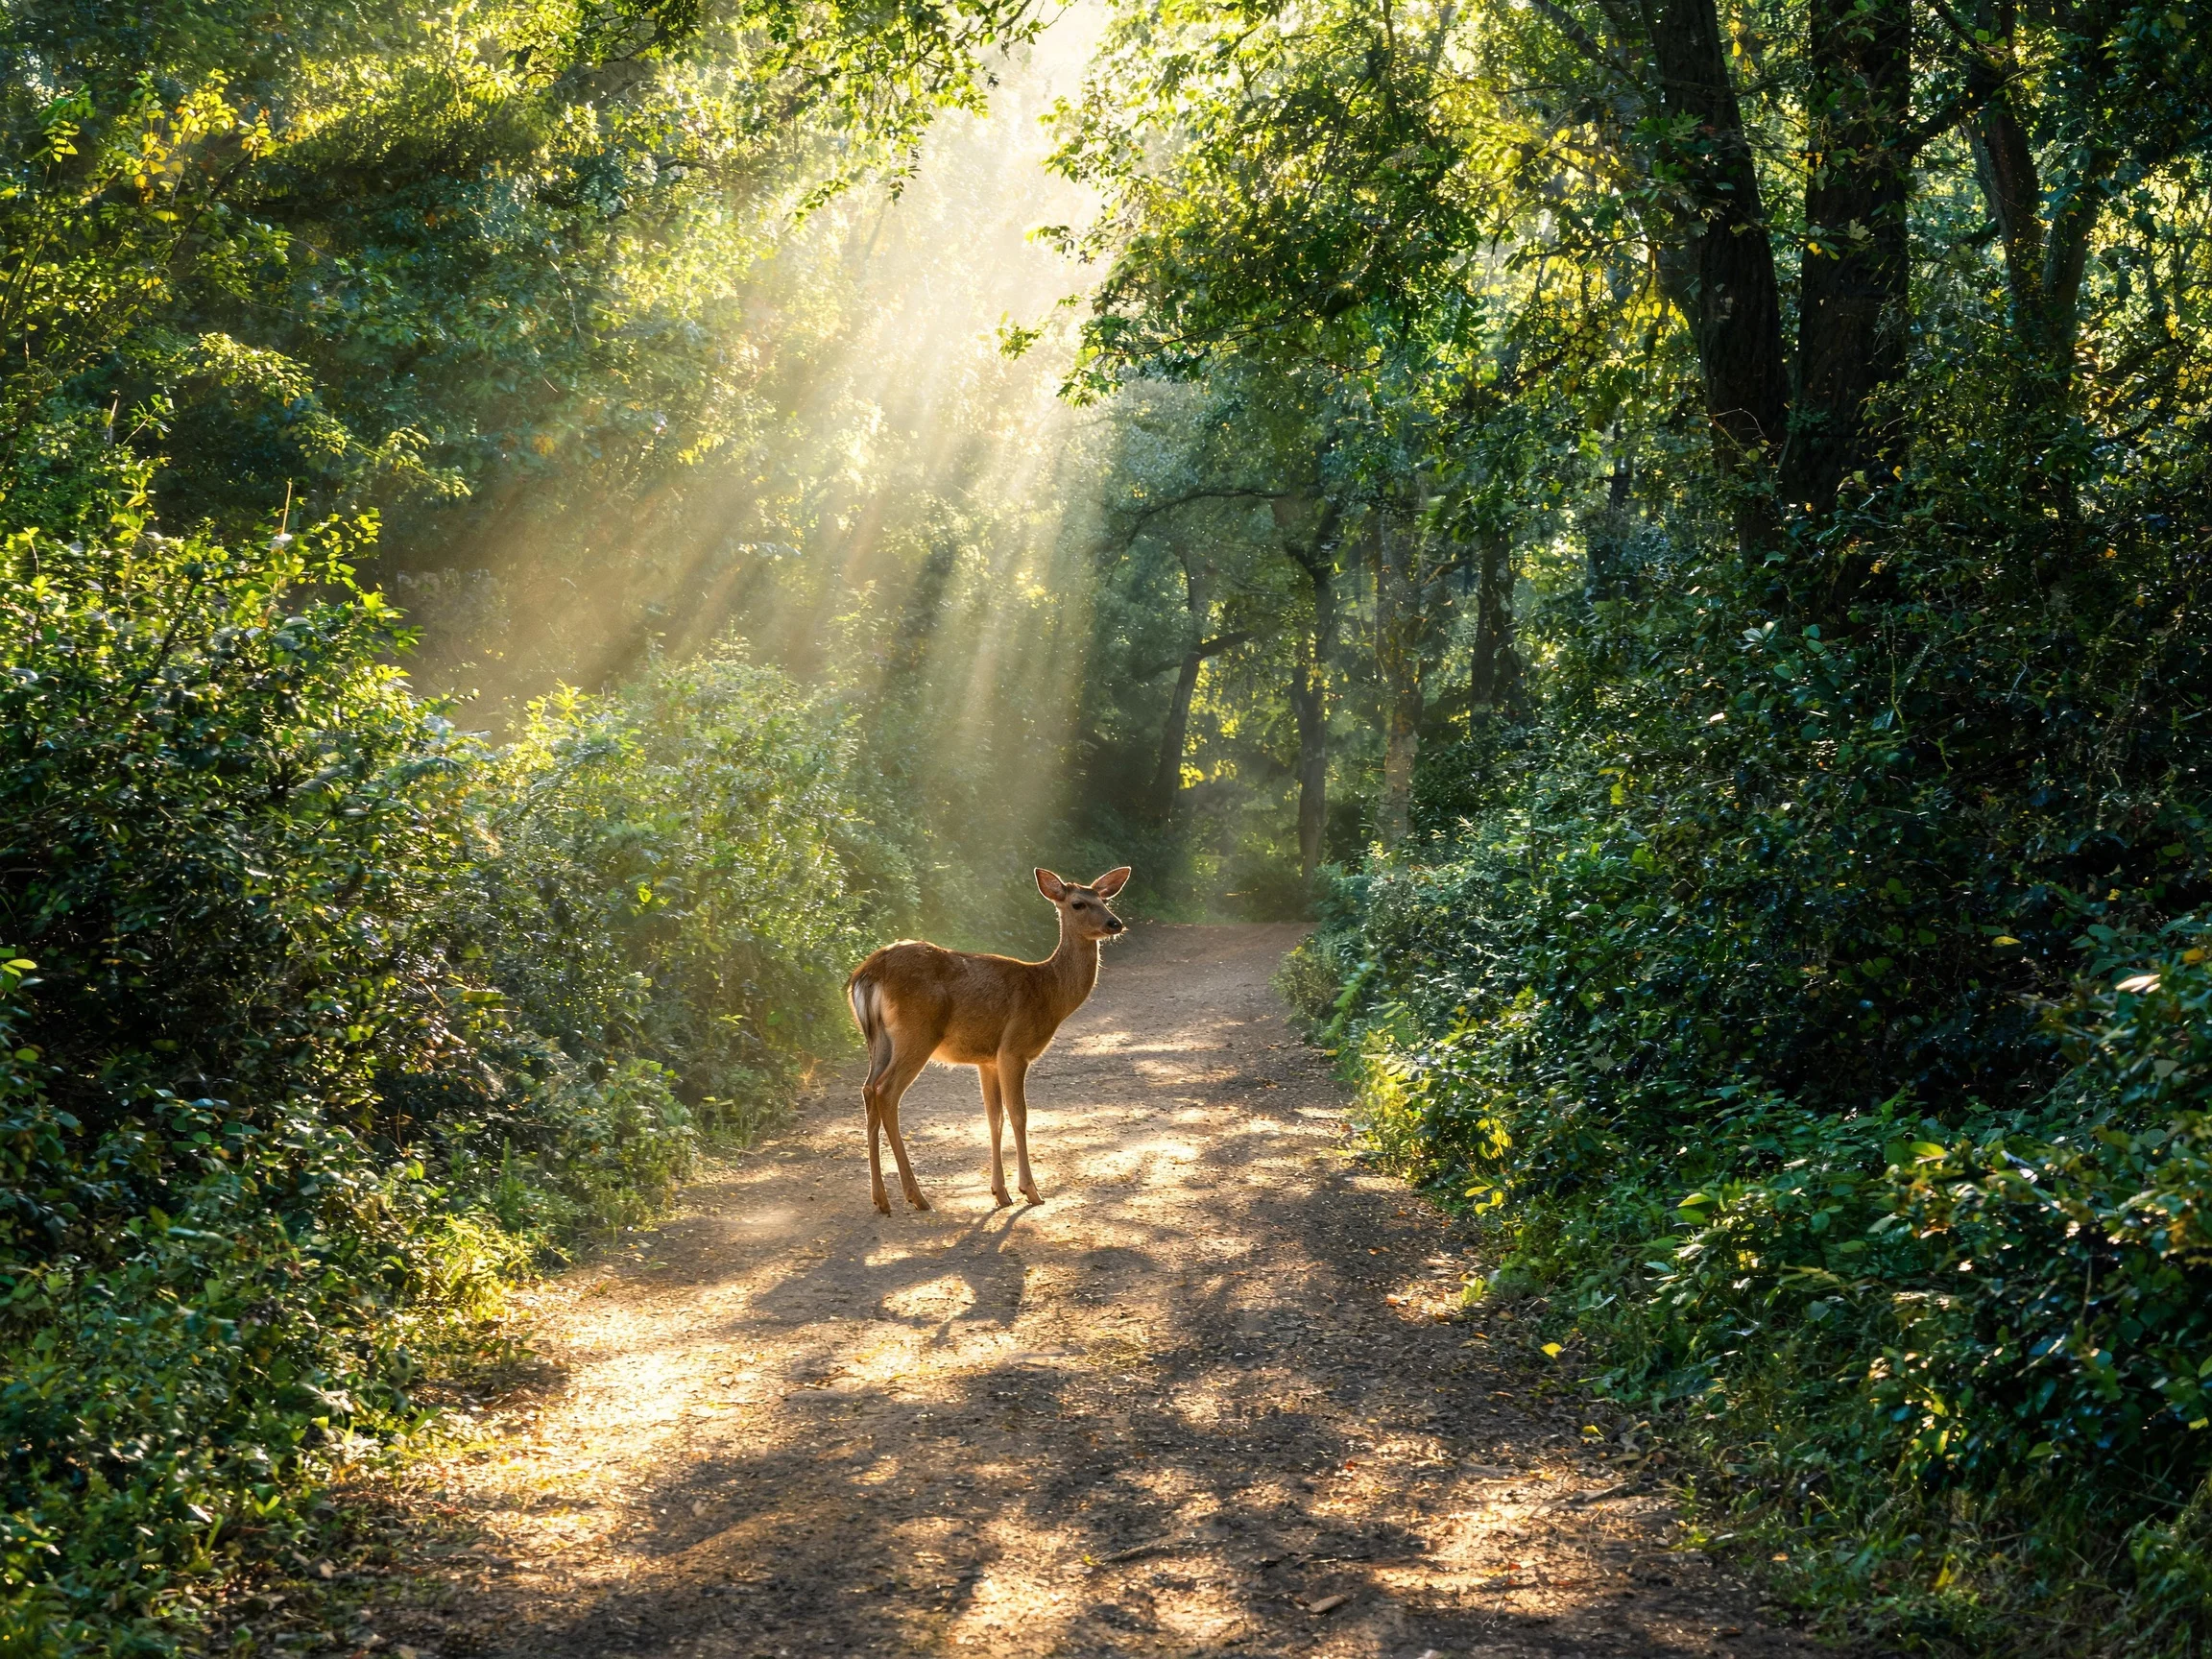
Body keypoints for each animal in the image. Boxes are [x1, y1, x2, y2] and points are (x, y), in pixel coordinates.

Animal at [845, 866, 1132, 1214]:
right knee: (885, 1092)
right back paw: (916, 1196)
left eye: (1105, 900)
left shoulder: (986, 1059)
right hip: (917, 1034)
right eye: (1079, 903)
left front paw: (1000, 1192)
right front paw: (1030, 1191)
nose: (1115, 923)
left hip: (878, 1040)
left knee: (867, 1089)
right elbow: (1019, 1115)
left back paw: (881, 1198)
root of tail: (867, 974)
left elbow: (994, 1118)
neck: (1049, 992)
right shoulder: (1013, 1049)